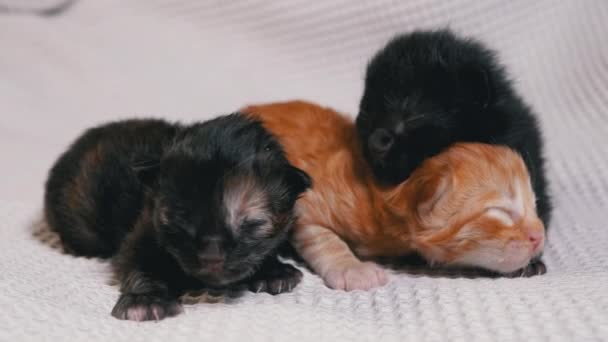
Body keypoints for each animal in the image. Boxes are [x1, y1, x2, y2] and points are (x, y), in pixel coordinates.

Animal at [43, 115, 312, 320]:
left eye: (252, 223)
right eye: (181, 216)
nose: (211, 255)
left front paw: (273, 271)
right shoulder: (142, 232)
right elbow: (139, 265)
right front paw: (145, 300)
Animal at [242, 101, 548, 292]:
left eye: (534, 206)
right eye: (500, 212)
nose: (540, 236)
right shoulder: (307, 203)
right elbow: (324, 240)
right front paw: (353, 269)